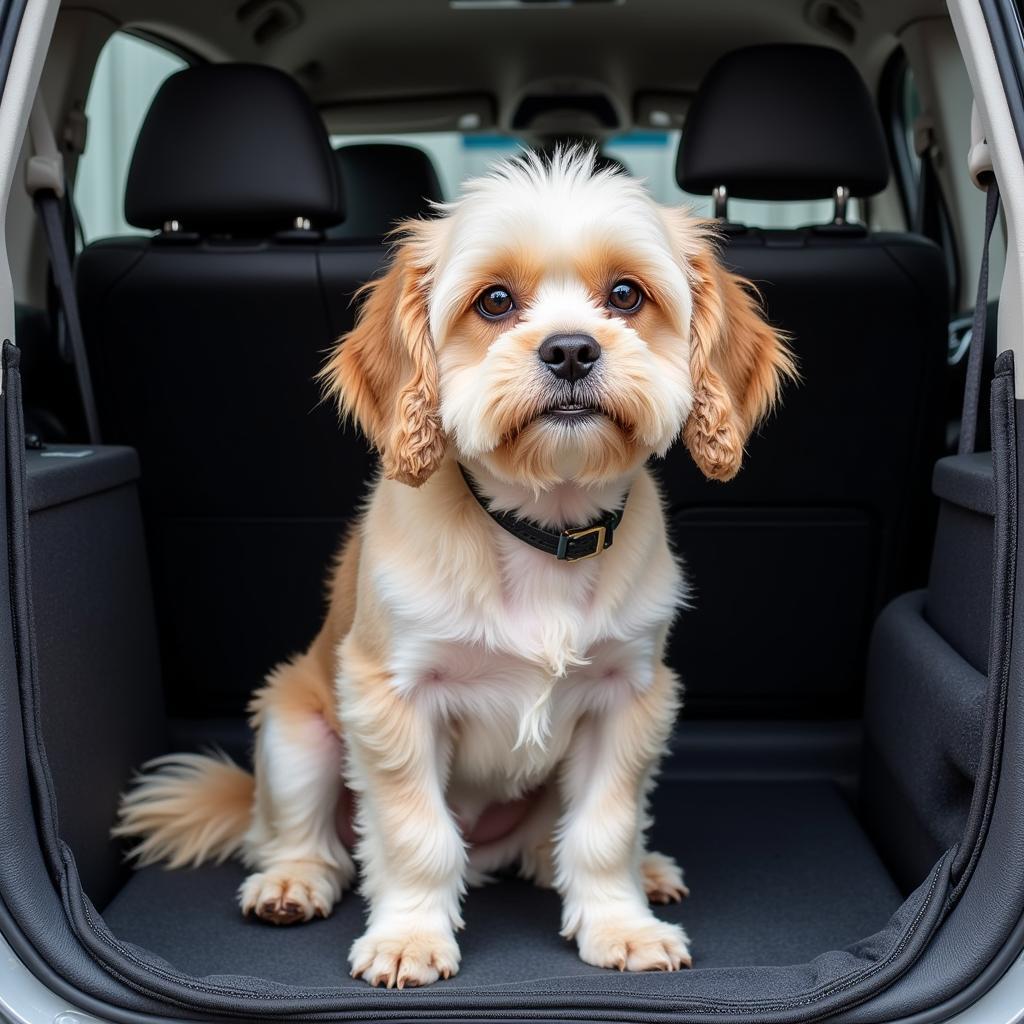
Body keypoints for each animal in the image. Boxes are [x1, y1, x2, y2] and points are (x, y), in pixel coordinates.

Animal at [116, 148, 794, 987]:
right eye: (495, 301)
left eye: (626, 295)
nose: (571, 350)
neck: (542, 529)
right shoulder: (392, 700)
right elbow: (415, 835)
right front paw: (410, 935)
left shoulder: (629, 699)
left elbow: (603, 829)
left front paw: (619, 923)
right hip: (295, 730)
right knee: (301, 838)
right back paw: (291, 881)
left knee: (554, 847)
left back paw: (643, 868)